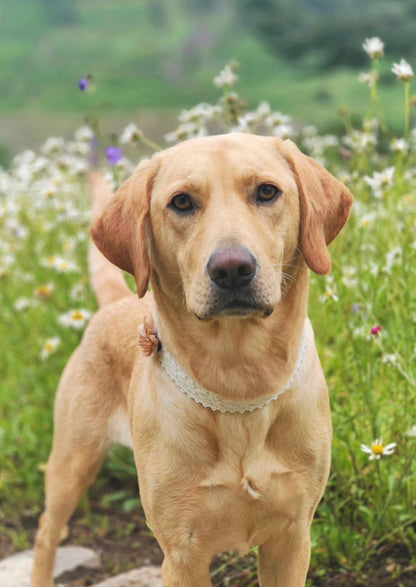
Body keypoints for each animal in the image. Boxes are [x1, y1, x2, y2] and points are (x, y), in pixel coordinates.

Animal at [30, 134, 352, 587]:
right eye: (181, 202)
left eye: (267, 192)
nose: (232, 268)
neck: (240, 383)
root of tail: (116, 302)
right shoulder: (182, 554)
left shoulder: (291, 540)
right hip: (73, 459)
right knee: (47, 531)